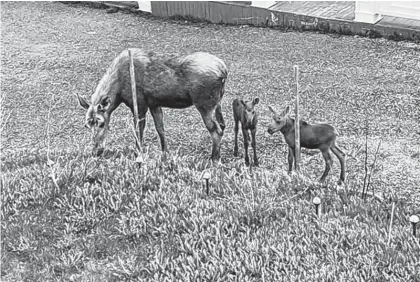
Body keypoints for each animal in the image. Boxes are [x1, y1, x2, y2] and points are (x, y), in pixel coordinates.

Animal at [75, 49, 226, 161]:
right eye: (87, 125)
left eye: (101, 123)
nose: (96, 151)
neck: (118, 93)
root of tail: (224, 72)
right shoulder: (154, 104)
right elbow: (160, 129)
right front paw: (165, 153)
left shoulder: (139, 105)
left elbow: (139, 131)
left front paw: (138, 153)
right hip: (217, 103)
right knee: (222, 125)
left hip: (204, 104)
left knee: (216, 129)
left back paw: (214, 158)